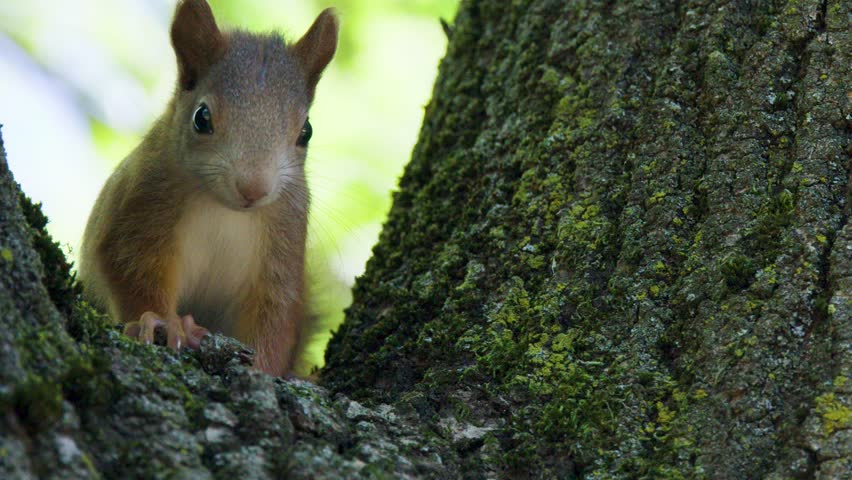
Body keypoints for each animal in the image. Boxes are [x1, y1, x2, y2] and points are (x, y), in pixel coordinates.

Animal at [79, 0, 338, 376]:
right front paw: (163, 322)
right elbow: (132, 271)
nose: (253, 188)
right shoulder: (141, 207)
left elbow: (275, 320)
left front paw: (262, 368)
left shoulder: (283, 248)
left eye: (306, 131)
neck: (223, 209)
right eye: (201, 118)